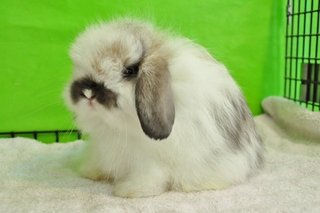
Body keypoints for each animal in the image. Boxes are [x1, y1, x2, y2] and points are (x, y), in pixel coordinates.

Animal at [64, 17, 262, 198]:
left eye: (130, 70)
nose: (88, 92)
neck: (116, 127)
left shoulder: (149, 161)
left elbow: (149, 177)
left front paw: (129, 190)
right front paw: (90, 172)